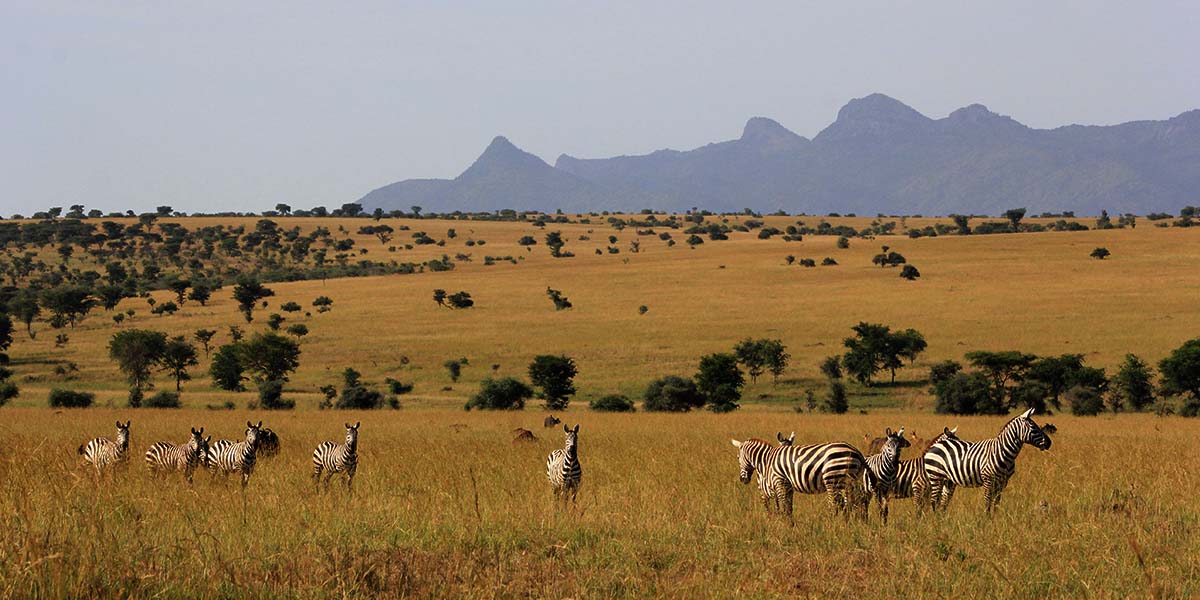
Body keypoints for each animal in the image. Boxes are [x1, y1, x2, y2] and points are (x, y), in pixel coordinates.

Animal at [729, 434, 864, 523]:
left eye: (737, 458)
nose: (742, 480)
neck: (766, 460)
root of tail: (856, 451)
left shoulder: (779, 482)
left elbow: (784, 505)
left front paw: (786, 524)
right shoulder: (787, 486)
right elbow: (789, 507)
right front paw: (789, 524)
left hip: (832, 479)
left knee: (835, 504)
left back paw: (832, 523)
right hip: (850, 482)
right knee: (853, 504)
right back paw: (851, 523)